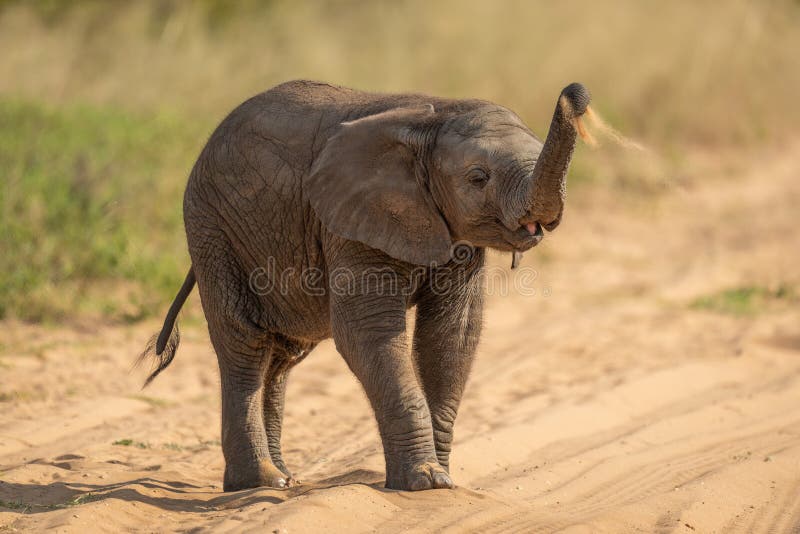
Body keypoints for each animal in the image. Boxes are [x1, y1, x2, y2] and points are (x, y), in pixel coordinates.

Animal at [139, 80, 590, 492]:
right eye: (479, 178)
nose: (575, 92)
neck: (437, 116)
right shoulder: (349, 219)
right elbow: (369, 332)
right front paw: (426, 482)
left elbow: (450, 336)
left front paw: (442, 477)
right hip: (212, 228)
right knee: (245, 343)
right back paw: (260, 482)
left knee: (281, 355)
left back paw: (283, 478)